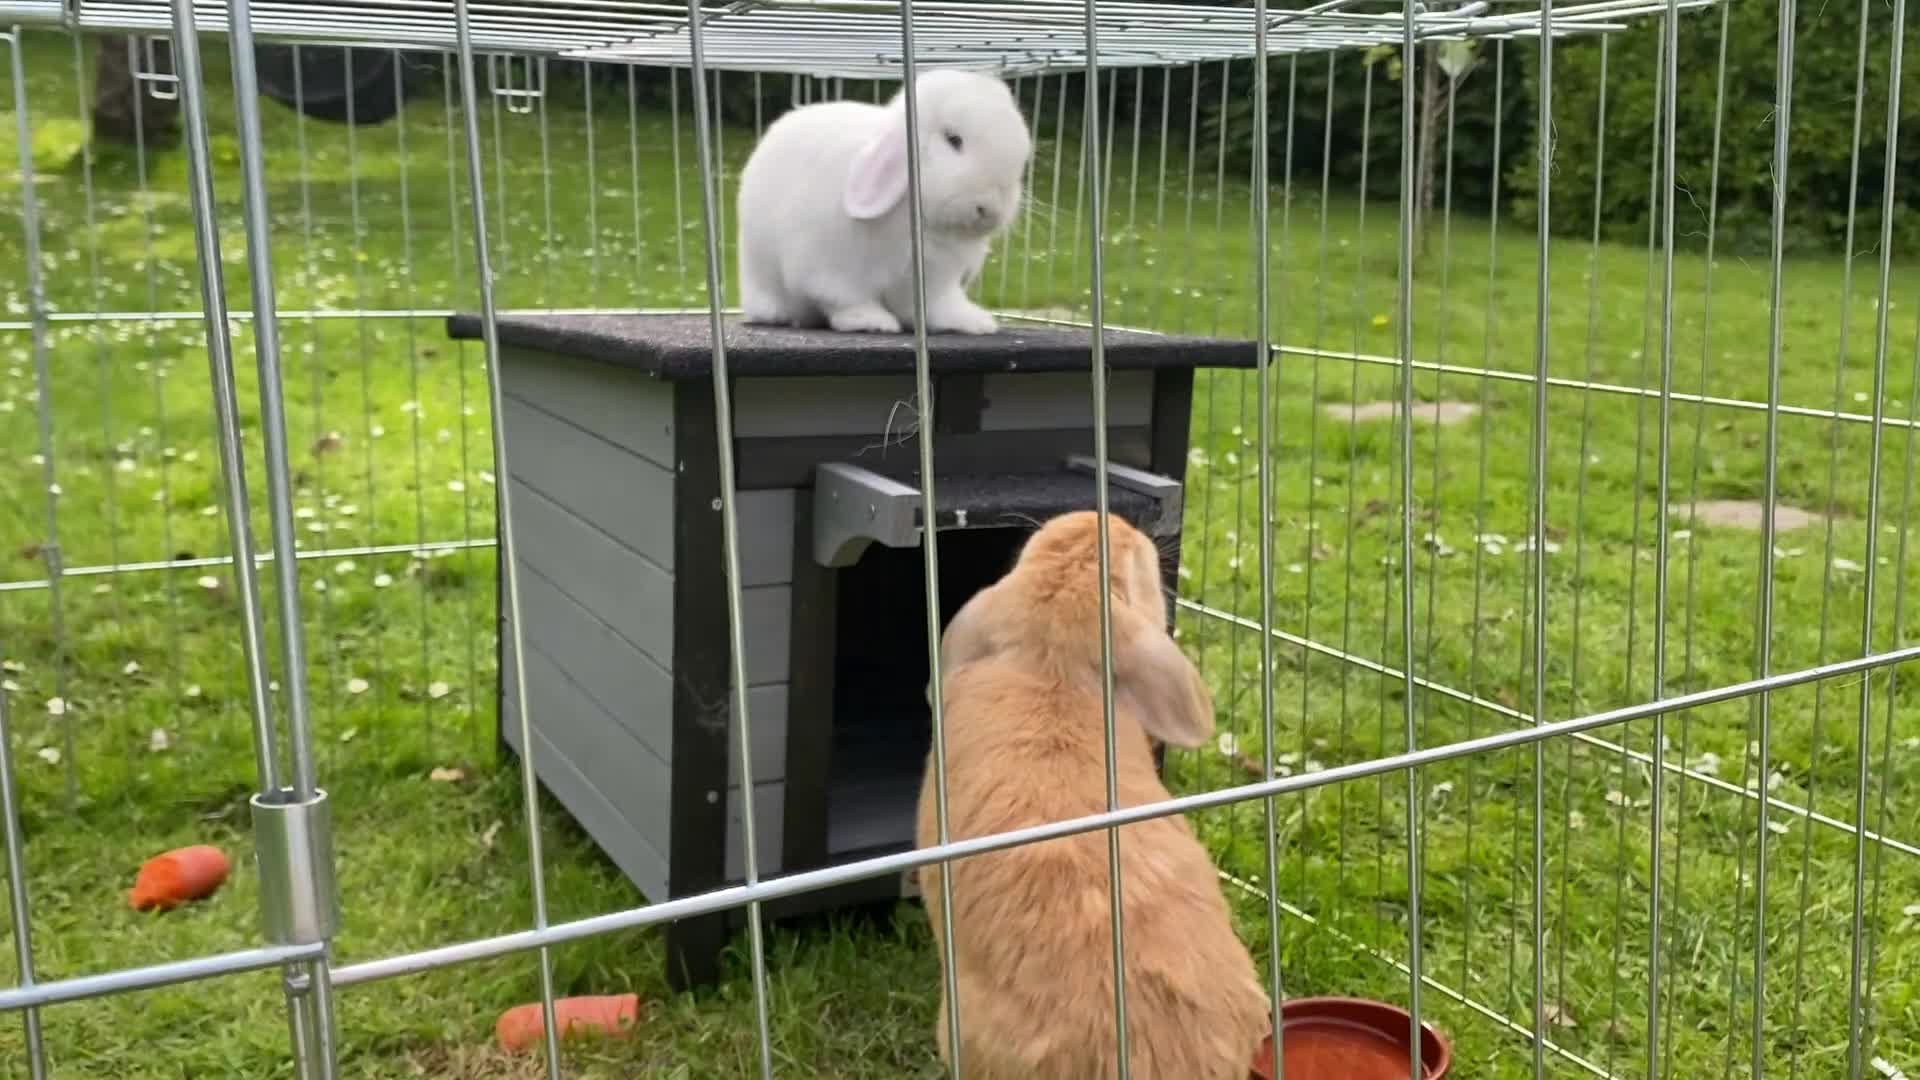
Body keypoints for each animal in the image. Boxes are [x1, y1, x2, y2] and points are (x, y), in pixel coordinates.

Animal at [735, 69, 1031, 336]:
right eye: (953, 140)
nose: (991, 208)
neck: (916, 221)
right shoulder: (831, 271)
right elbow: (846, 300)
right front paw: (872, 322)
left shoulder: (936, 281)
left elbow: (939, 307)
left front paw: (974, 323)